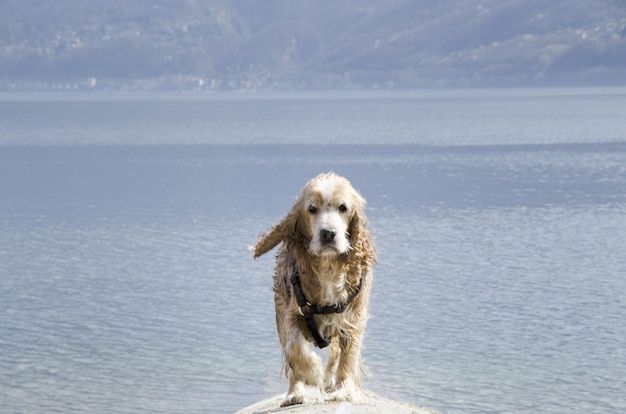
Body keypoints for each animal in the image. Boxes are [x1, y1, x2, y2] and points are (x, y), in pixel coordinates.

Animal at [251, 172, 372, 408]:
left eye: (343, 207)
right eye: (312, 209)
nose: (328, 234)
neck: (328, 267)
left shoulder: (353, 319)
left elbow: (348, 358)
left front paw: (343, 390)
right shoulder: (291, 315)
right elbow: (295, 349)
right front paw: (313, 373)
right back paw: (294, 394)